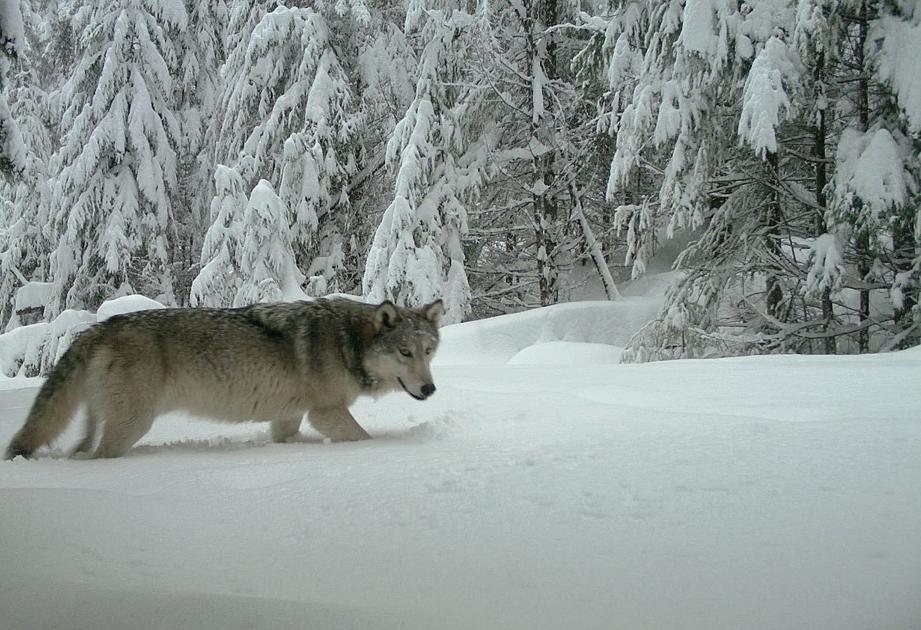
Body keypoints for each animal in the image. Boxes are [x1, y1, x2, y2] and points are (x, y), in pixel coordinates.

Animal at [2, 298, 442, 462]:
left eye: (429, 351)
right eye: (405, 353)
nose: (430, 389)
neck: (347, 340)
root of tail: (100, 327)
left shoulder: (288, 417)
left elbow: (285, 439)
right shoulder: (326, 412)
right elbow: (363, 438)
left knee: (79, 449)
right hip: (132, 425)